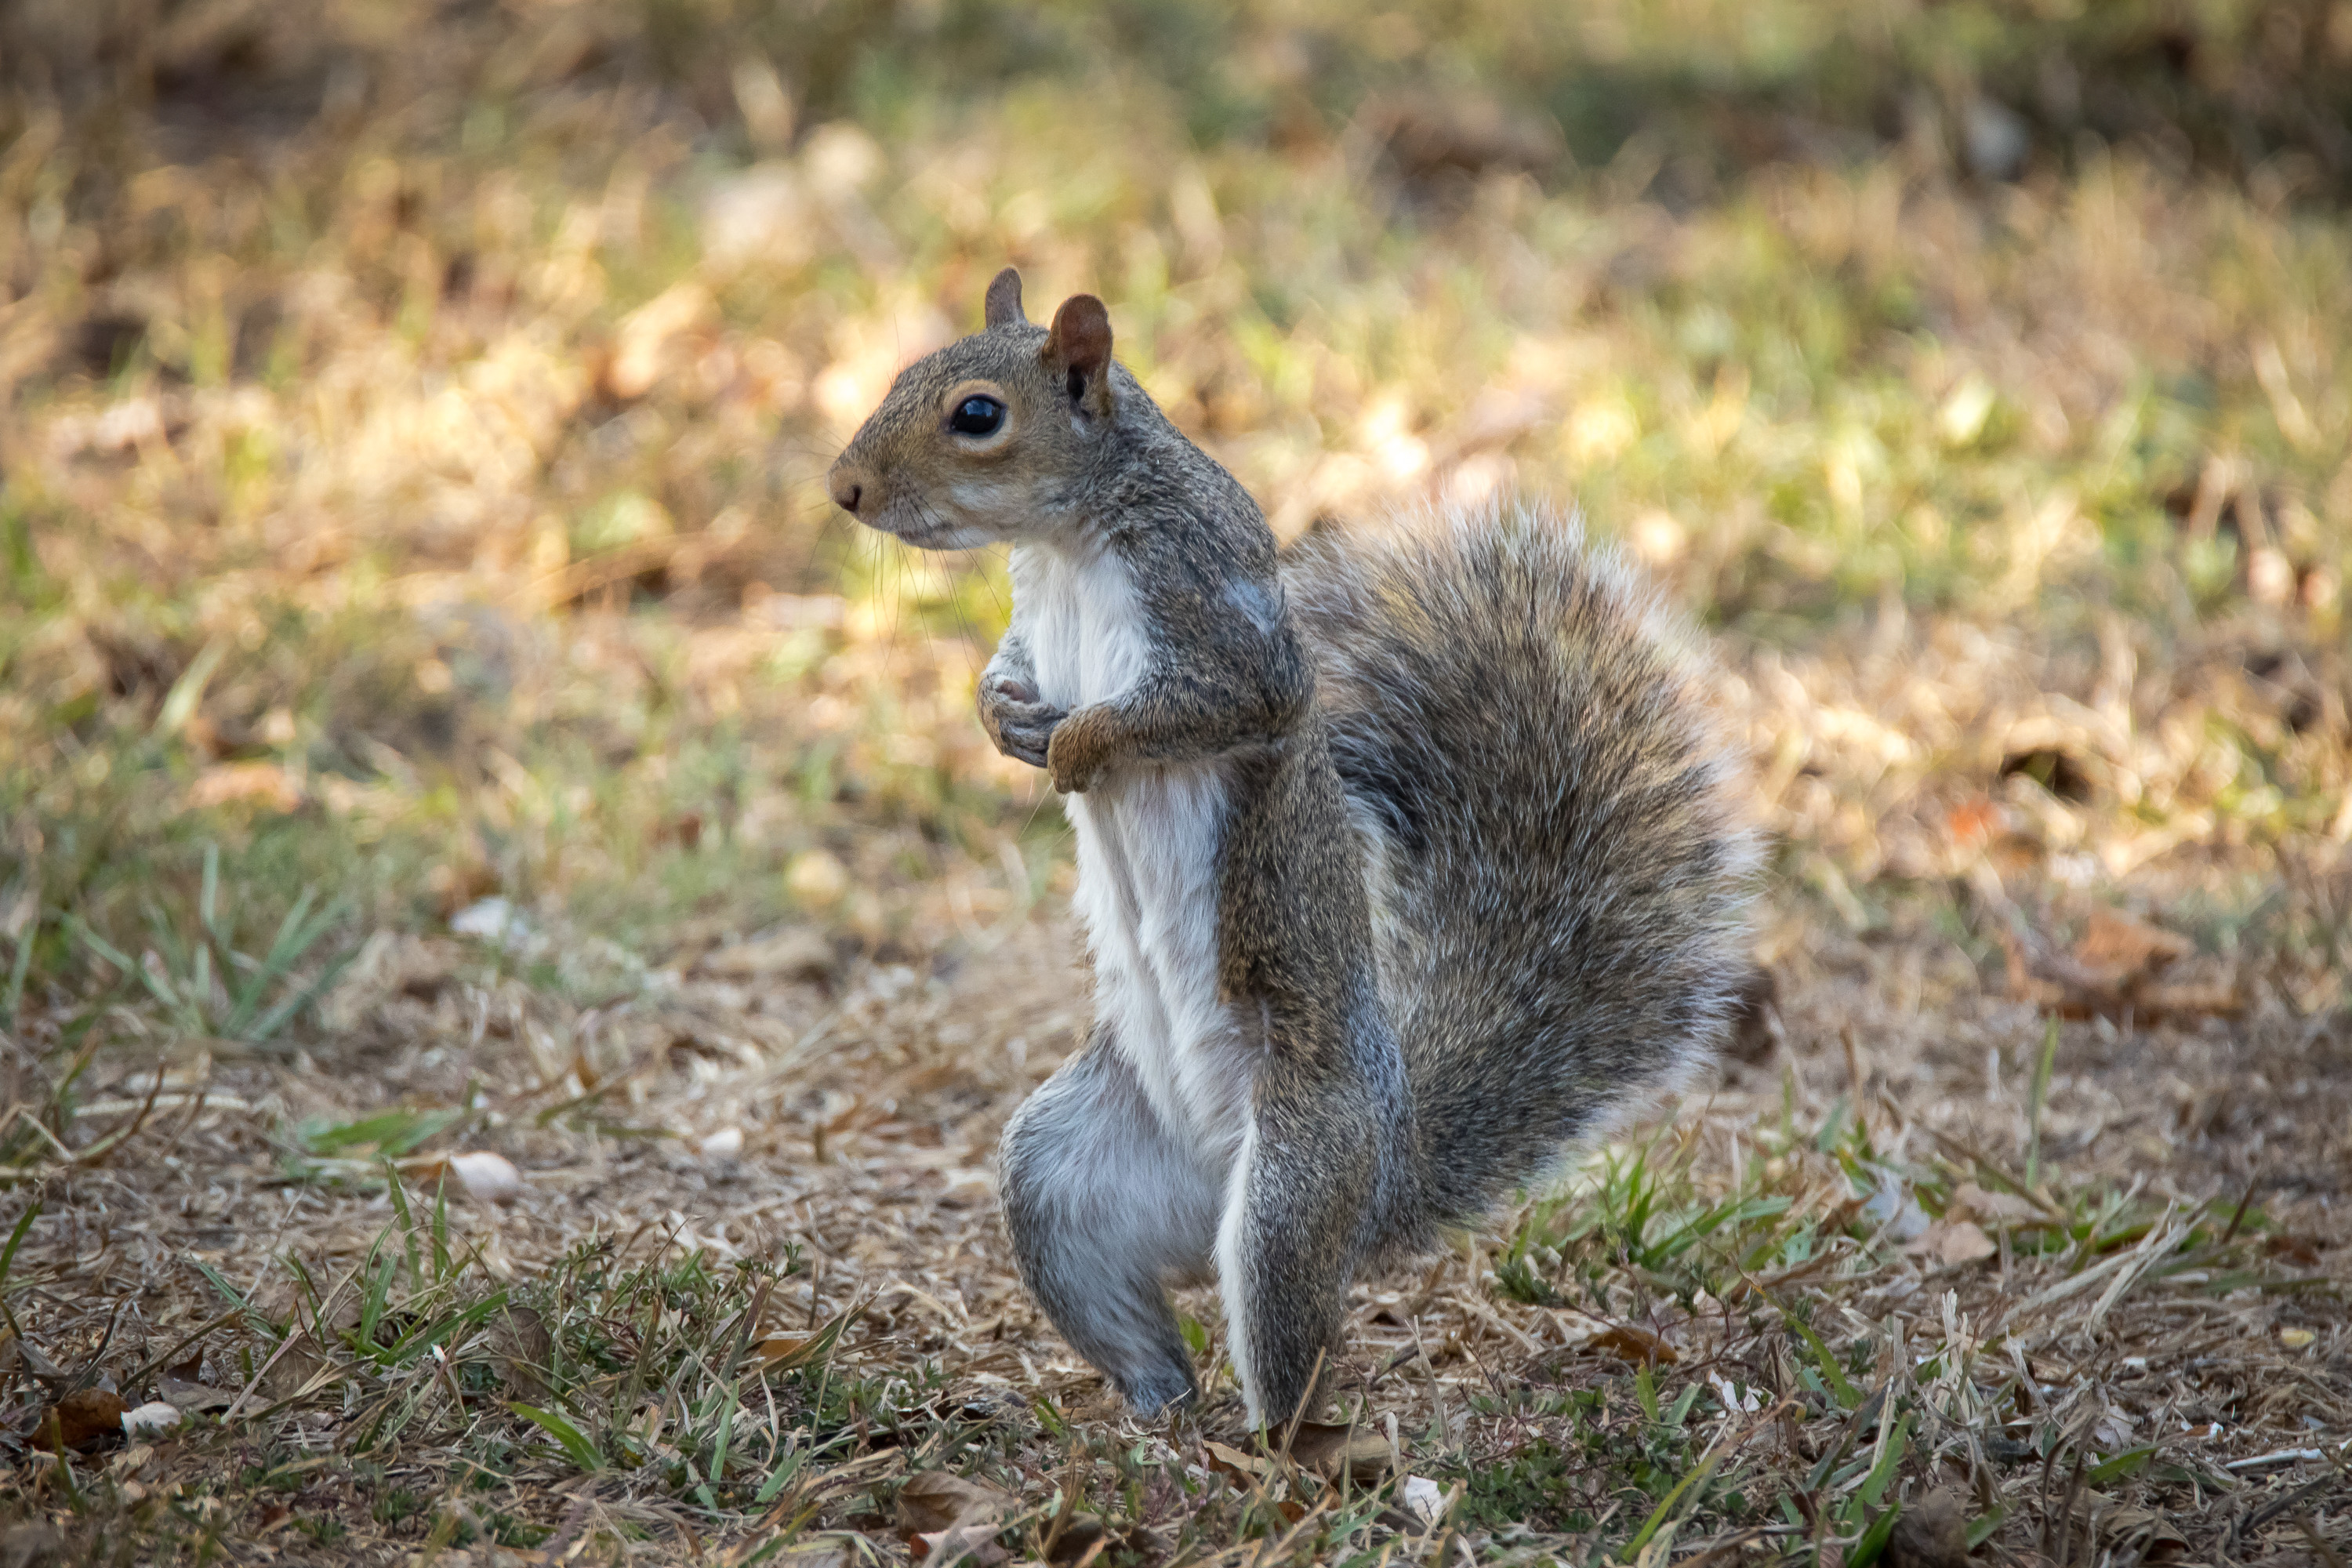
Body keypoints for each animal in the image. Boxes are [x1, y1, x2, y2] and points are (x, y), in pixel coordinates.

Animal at [823, 272, 1750, 1439]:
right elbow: (1008, 668)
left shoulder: (1218, 615)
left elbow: (1220, 701)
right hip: (1058, 1177)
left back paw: (1267, 1450)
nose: (843, 488)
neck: (1071, 540)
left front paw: (1080, 744)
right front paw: (1003, 720)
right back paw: (1154, 1420)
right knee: (1136, 1316)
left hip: (1292, 1184)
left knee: (1288, 1349)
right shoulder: (1036, 616)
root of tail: (1385, 1179)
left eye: (977, 415)